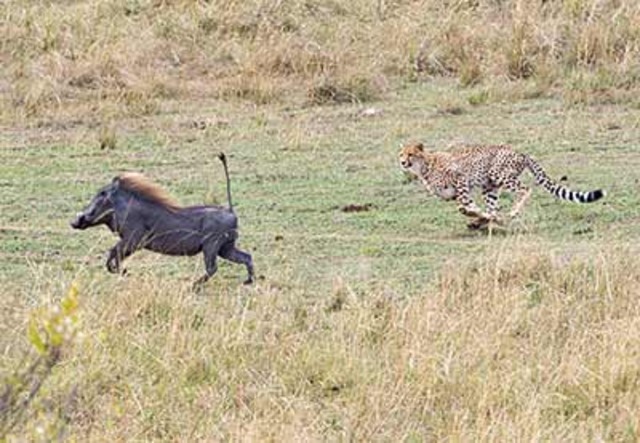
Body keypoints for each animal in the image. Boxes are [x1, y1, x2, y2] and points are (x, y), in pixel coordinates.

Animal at [398, 141, 605, 229]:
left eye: (410, 154)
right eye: (401, 153)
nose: (402, 162)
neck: (424, 166)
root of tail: (521, 152)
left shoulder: (461, 179)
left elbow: (465, 204)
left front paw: (475, 215)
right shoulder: (452, 194)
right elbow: (471, 206)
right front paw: (479, 217)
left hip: (498, 174)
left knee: (525, 189)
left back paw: (511, 212)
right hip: (490, 187)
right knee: (493, 208)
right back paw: (489, 220)